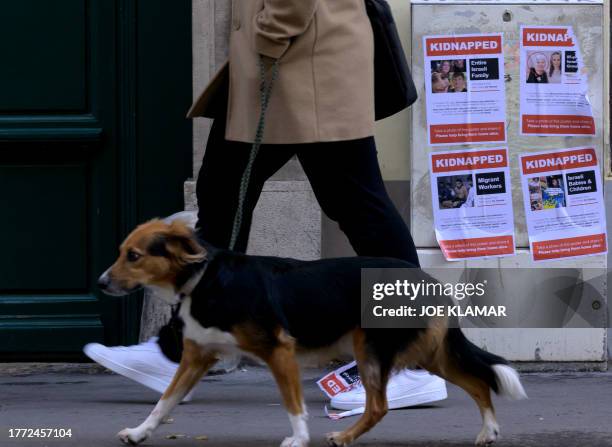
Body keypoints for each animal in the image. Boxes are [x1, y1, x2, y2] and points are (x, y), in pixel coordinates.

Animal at [98, 220, 524, 447]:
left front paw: (299, 439)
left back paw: (346, 436)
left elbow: (293, 405)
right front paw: (139, 432)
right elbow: (165, 402)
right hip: (428, 353)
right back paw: (489, 431)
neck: (204, 278)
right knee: (478, 383)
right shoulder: (197, 355)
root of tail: (428, 279)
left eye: (133, 256)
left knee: (380, 405)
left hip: (371, 347)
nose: (101, 283)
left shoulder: (279, 351)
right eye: (120, 252)